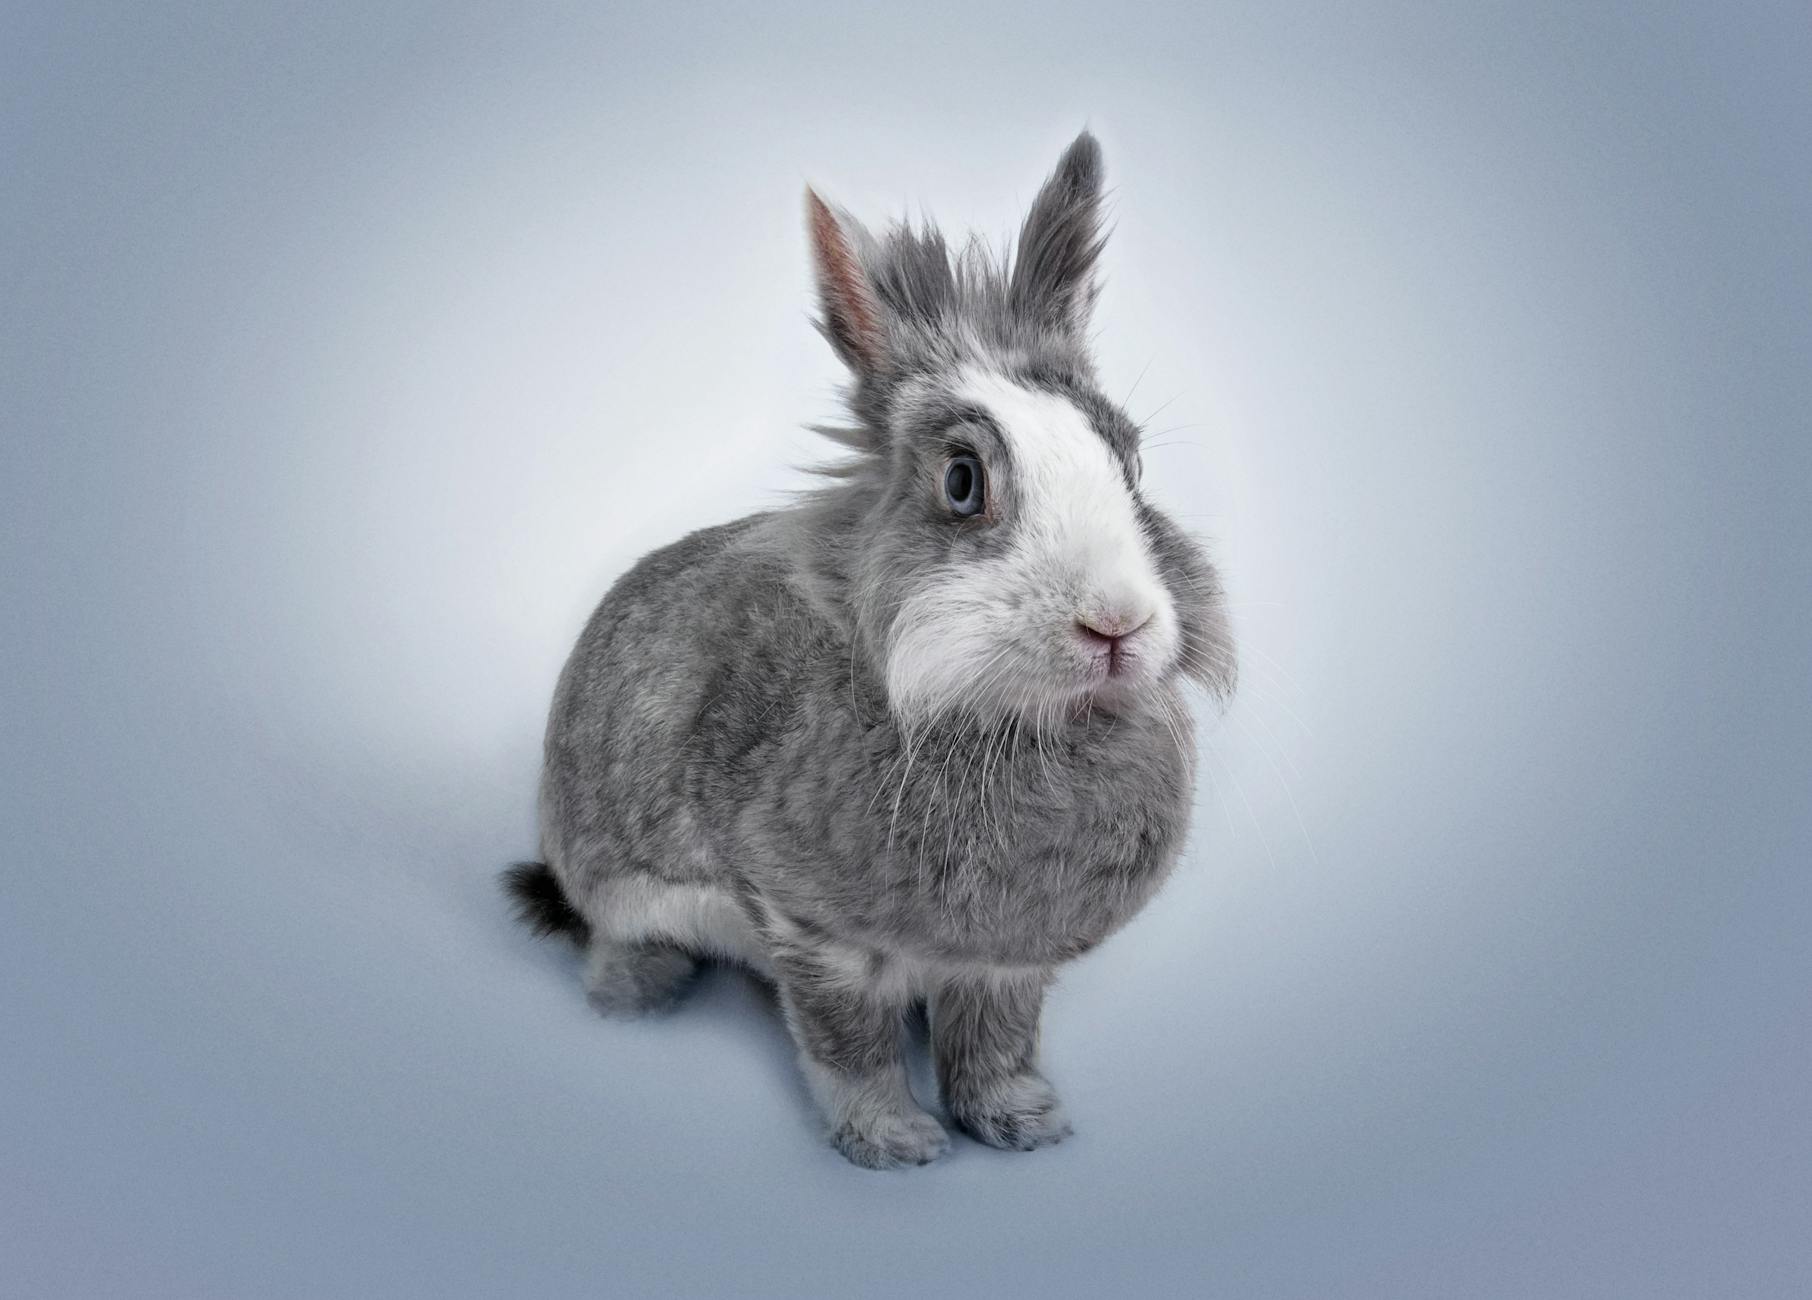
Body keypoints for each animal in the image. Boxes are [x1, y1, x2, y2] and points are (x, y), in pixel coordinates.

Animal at [504, 131, 1235, 1169]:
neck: (1005, 723)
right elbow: (847, 1044)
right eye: (963, 481)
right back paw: (637, 1000)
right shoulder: (813, 935)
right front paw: (896, 1144)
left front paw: (1023, 1124)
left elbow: (997, 1043)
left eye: (1130, 464)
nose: (1118, 625)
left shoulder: (1003, 966)